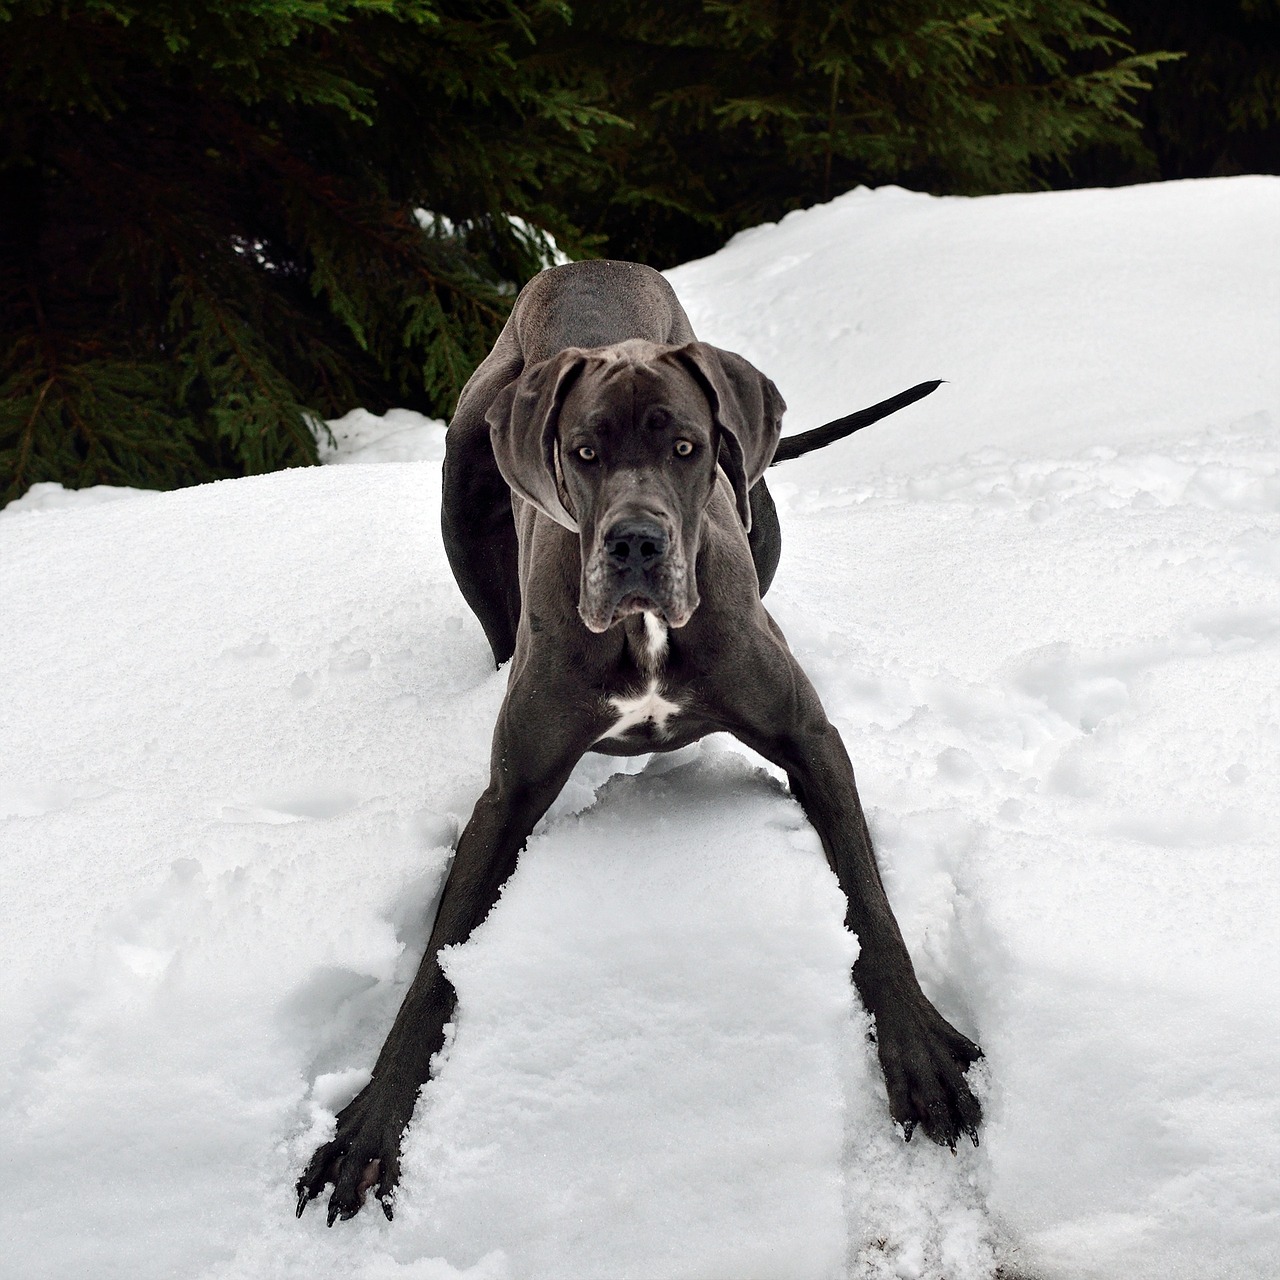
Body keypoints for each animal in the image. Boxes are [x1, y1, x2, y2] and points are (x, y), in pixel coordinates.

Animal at [296, 257, 977, 1218]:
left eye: (686, 448)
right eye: (584, 453)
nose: (635, 544)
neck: (645, 631)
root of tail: (588, 264)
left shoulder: (811, 738)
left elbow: (871, 904)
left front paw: (918, 1052)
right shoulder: (508, 794)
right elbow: (435, 965)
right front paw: (371, 1121)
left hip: (759, 506)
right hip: (462, 479)